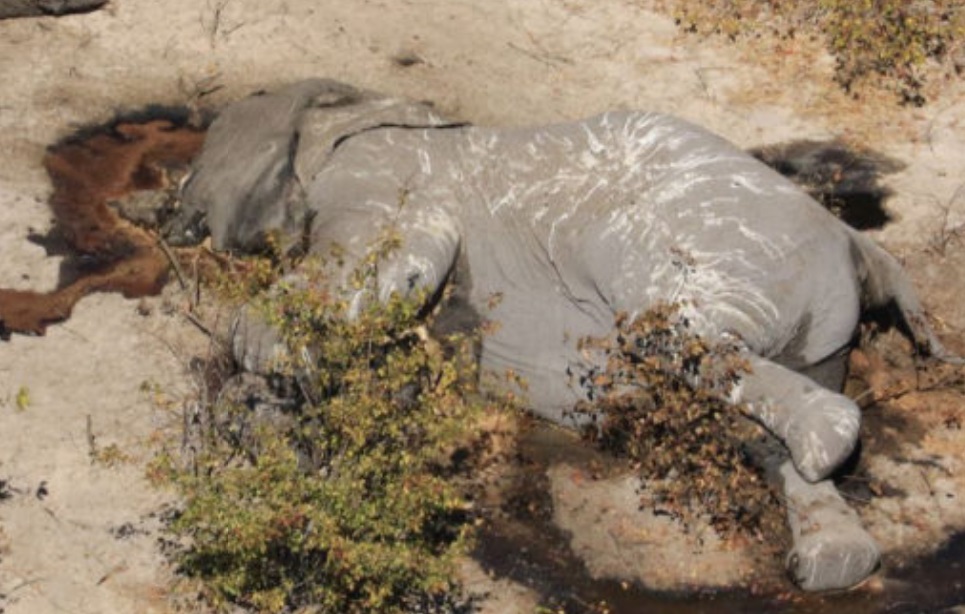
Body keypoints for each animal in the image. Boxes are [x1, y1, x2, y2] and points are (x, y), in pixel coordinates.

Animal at [170, 79, 959, 592]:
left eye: (207, 164)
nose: (170, 221)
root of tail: (862, 248)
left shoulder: (382, 172)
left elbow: (401, 249)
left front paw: (268, 361)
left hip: (720, 246)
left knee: (671, 329)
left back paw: (824, 445)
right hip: (810, 327)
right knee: (746, 431)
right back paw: (829, 560)